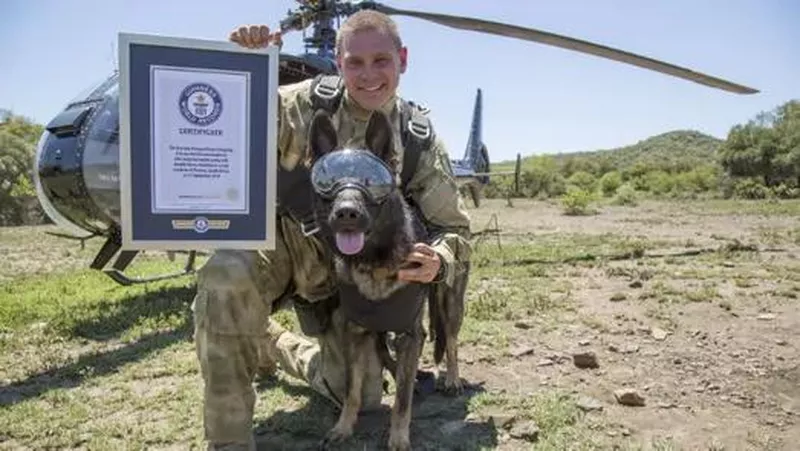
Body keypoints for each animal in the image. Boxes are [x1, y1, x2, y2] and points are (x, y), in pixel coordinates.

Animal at [306, 107, 468, 450]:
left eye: (372, 182)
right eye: (329, 183)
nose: (347, 213)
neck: (374, 262)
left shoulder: (408, 335)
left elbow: (402, 401)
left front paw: (398, 438)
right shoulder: (355, 332)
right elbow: (353, 390)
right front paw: (343, 427)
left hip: (448, 305)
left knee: (451, 341)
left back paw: (452, 379)